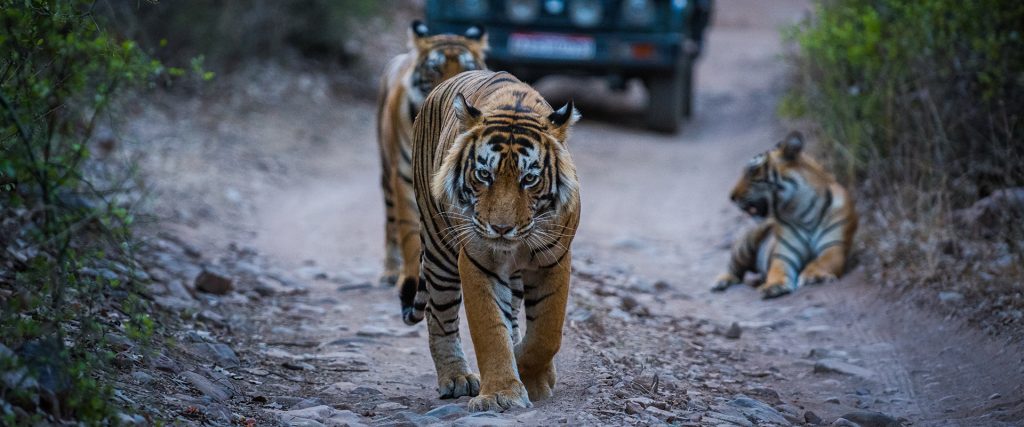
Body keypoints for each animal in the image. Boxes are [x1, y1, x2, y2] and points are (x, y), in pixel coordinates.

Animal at [377, 20, 488, 287]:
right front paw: (409, 276)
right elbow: (408, 232)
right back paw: (389, 270)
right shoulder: (404, 177)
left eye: (468, 68)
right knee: (390, 221)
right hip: (386, 172)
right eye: (435, 68)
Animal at [400, 70, 581, 412]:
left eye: (529, 179)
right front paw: (501, 393)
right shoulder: (477, 260)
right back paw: (456, 378)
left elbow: (547, 332)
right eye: (484, 175)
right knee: (440, 316)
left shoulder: (555, 258)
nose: (501, 228)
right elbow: (490, 330)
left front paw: (532, 374)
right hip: (439, 248)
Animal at [712, 131, 858, 298]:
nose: (732, 197)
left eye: (752, 171)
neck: (802, 210)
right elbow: (777, 269)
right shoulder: (784, 254)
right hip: (747, 241)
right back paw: (720, 282)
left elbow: (822, 261)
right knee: (733, 267)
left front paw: (813, 276)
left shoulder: (834, 246)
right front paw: (773, 286)